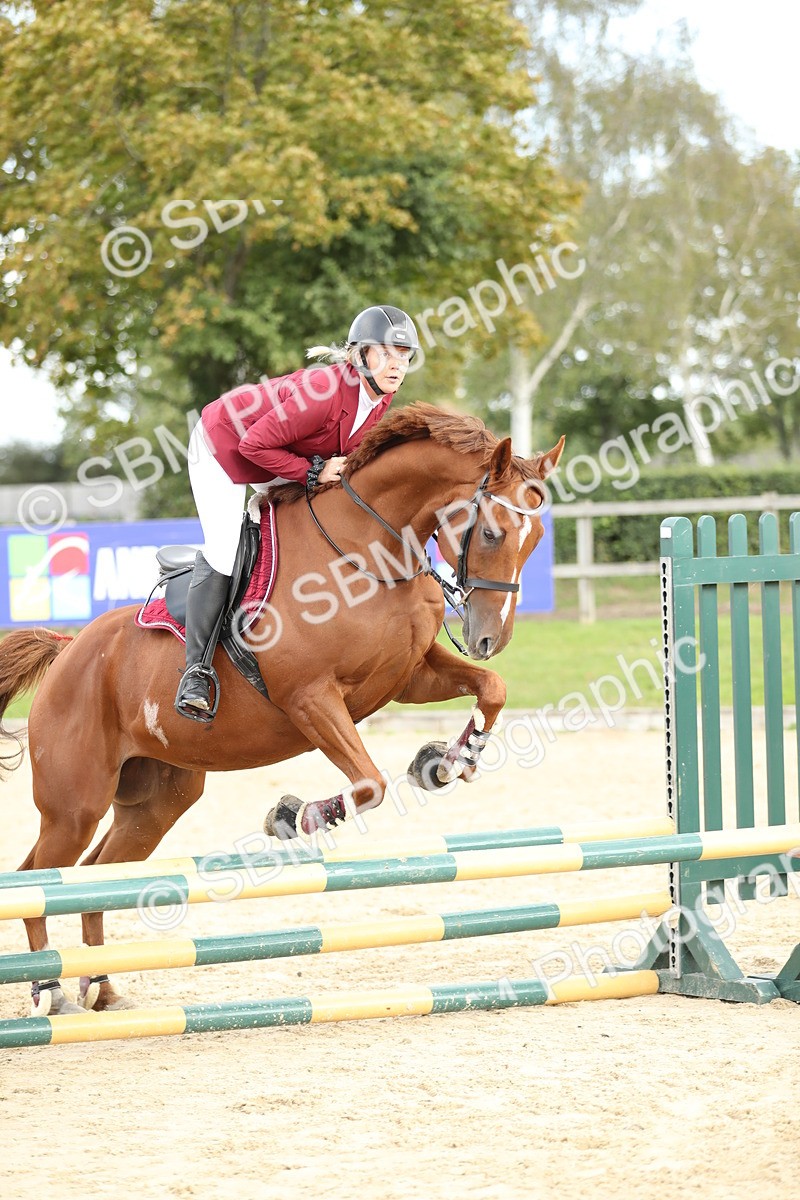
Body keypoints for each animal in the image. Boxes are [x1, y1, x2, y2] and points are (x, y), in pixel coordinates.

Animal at [0, 402, 563, 1015]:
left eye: (535, 540)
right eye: (490, 531)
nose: (489, 636)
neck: (367, 551)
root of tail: (67, 650)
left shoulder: (407, 676)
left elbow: (491, 688)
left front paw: (446, 760)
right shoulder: (310, 697)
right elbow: (369, 783)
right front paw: (291, 817)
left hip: (155, 803)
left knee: (97, 875)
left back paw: (101, 987)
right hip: (74, 805)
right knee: (39, 873)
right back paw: (52, 990)